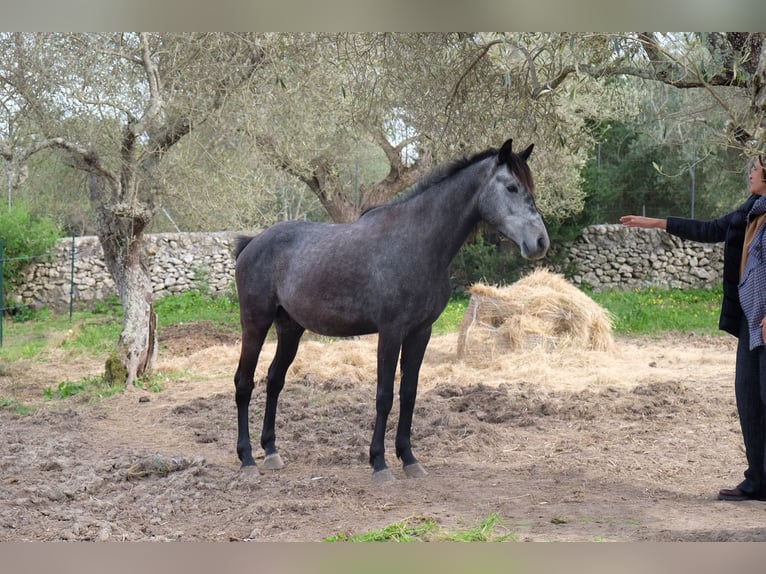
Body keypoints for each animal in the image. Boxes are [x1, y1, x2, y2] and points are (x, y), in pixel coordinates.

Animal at [233, 138, 549, 483]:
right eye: (511, 187)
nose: (540, 242)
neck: (417, 243)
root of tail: (251, 243)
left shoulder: (420, 332)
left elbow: (409, 392)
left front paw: (409, 458)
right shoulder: (391, 331)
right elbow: (384, 395)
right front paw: (379, 463)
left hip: (290, 328)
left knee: (275, 380)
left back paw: (271, 452)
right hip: (255, 323)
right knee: (244, 382)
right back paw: (247, 458)